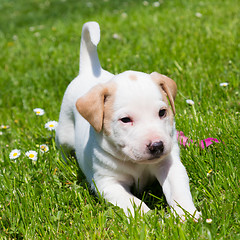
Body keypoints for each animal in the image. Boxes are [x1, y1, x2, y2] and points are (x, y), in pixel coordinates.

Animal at [55, 21, 200, 218]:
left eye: (162, 112)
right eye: (125, 120)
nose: (157, 146)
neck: (136, 163)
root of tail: (90, 72)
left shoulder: (170, 165)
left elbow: (178, 190)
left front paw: (187, 215)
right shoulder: (107, 184)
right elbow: (132, 202)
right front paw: (149, 218)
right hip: (64, 131)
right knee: (62, 147)